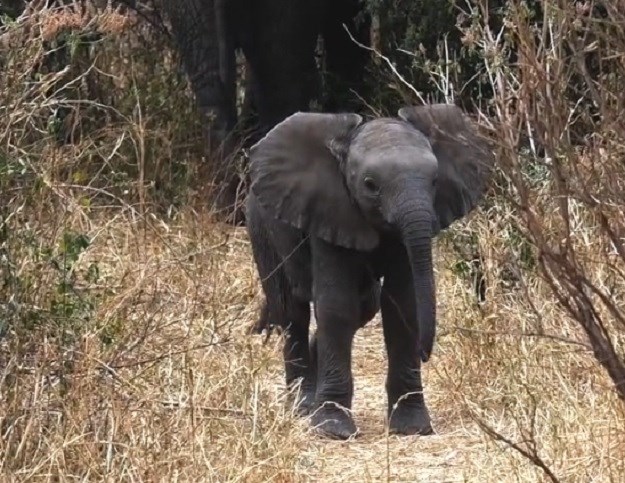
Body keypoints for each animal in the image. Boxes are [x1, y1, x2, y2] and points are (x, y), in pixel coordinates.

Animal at [244, 104, 492, 440]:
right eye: (370, 185)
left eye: (434, 182)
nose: (425, 354)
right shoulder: (329, 210)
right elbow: (337, 306)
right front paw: (333, 430)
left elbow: (403, 307)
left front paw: (412, 428)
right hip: (260, 228)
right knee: (292, 309)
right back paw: (303, 407)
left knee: (365, 305)